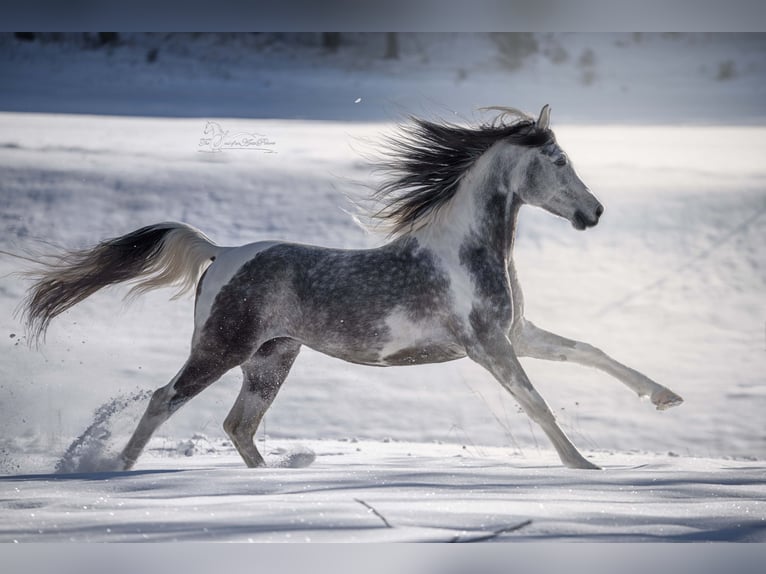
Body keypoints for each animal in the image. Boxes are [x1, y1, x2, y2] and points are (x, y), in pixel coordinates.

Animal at [21, 105, 683, 471]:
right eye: (560, 160)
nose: (594, 213)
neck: (466, 250)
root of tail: (221, 252)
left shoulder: (517, 333)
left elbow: (591, 352)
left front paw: (665, 398)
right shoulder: (489, 345)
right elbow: (537, 403)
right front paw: (584, 466)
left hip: (272, 358)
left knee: (239, 425)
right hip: (222, 348)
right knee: (164, 400)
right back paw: (115, 471)